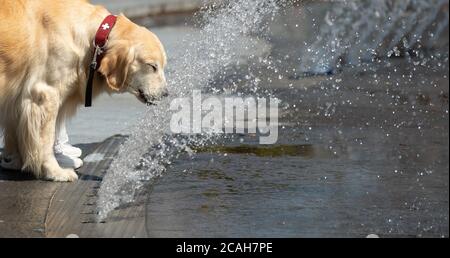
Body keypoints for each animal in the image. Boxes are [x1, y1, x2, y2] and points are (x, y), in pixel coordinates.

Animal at [0, 0, 169, 181]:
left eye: (162, 66)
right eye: (152, 66)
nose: (166, 94)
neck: (95, 37)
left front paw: (14, 160)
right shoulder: (44, 94)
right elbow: (45, 140)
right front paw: (54, 171)